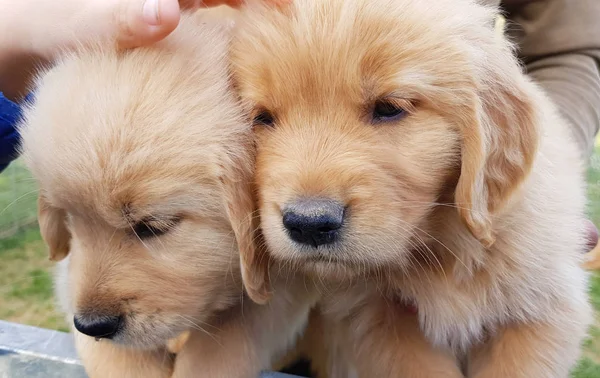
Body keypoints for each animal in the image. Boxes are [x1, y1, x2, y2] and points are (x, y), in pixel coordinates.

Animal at [18, 8, 314, 378]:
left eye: (152, 227)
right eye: (72, 221)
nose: (92, 325)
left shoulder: (288, 270)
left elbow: (227, 341)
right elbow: (117, 356)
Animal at [232, 0, 592, 378]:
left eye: (389, 108)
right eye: (262, 118)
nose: (309, 224)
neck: (444, 246)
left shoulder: (540, 310)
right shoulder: (380, 320)